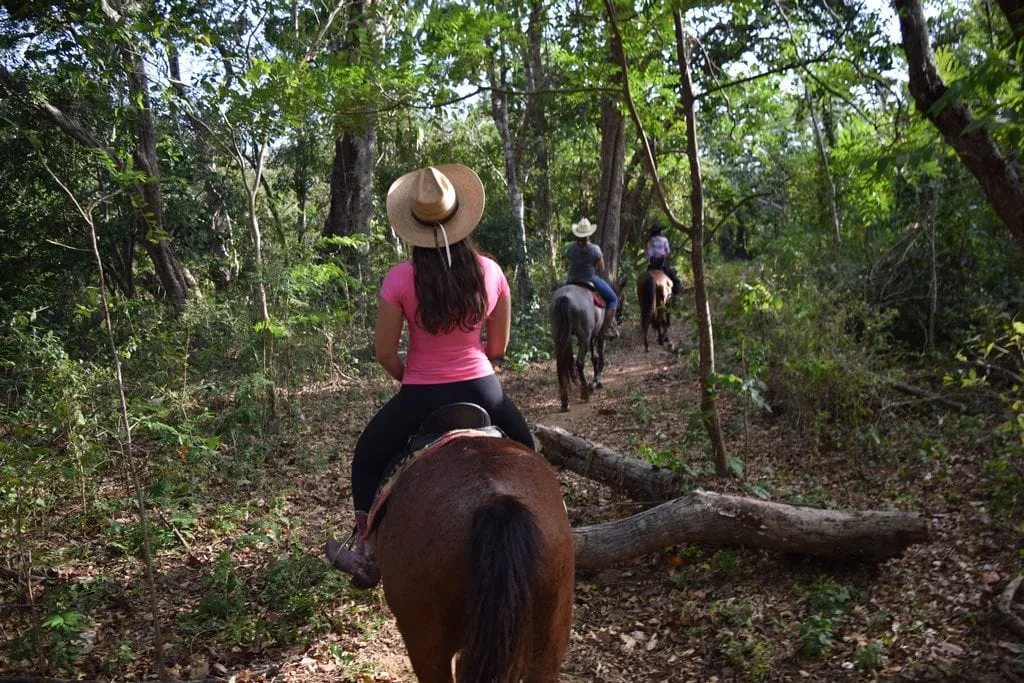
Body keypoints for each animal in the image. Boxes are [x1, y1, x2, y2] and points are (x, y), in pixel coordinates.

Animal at [548, 282, 610, 411]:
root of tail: (564, 297)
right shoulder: (595, 335)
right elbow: (597, 356)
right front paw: (596, 381)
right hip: (584, 336)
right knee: (580, 362)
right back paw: (585, 392)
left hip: (559, 335)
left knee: (562, 363)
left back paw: (565, 400)